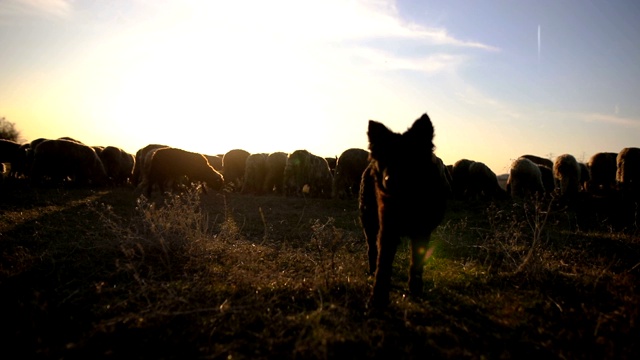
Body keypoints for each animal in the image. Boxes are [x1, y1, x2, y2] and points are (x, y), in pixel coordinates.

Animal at [358, 113, 448, 310]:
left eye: (409, 158)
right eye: (385, 158)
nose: (389, 180)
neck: (407, 200)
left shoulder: (422, 231)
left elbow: (416, 263)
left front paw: (415, 289)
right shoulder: (388, 228)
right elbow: (383, 265)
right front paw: (377, 300)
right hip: (368, 219)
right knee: (371, 248)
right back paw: (371, 270)